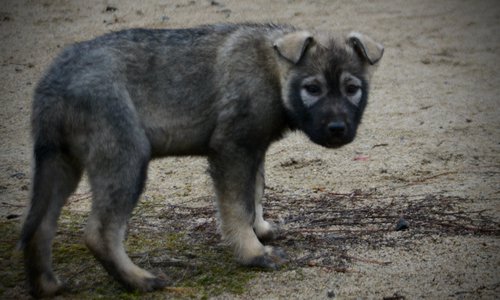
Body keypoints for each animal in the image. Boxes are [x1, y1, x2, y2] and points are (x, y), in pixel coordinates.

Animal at [17, 23, 380, 298]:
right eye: (312, 88)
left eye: (352, 88)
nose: (337, 129)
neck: (273, 70)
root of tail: (53, 81)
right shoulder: (233, 149)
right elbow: (238, 207)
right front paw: (253, 253)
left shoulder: (253, 150)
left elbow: (255, 194)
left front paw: (261, 230)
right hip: (125, 158)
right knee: (100, 232)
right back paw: (140, 280)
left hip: (59, 162)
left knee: (39, 226)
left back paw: (47, 286)